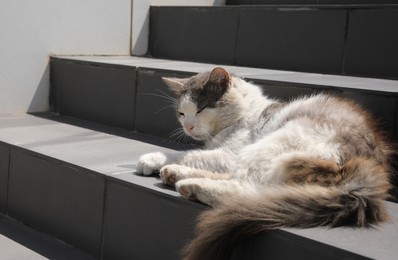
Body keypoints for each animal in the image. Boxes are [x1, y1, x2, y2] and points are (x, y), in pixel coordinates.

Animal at [136, 67, 392, 260]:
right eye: (181, 113)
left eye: (201, 109)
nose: (188, 126)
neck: (245, 114)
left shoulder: (231, 154)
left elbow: (186, 153)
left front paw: (151, 158)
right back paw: (176, 175)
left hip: (277, 144)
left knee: (245, 189)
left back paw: (188, 184)